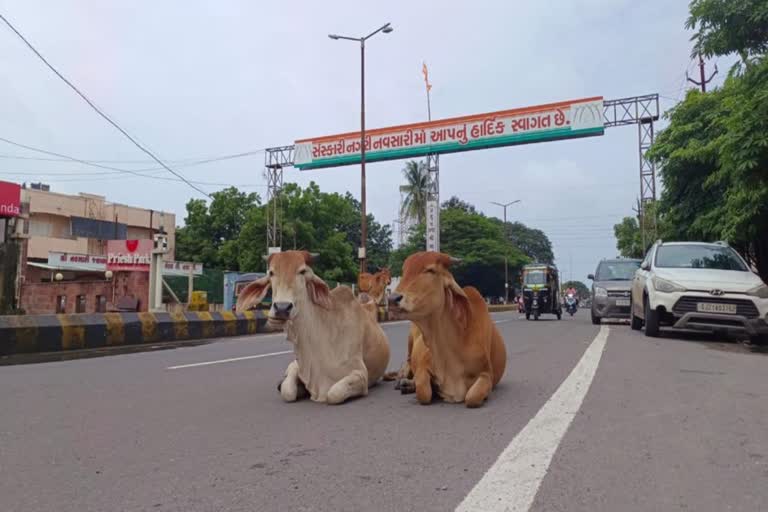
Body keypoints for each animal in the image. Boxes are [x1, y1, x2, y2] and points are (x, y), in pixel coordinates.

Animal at [234, 251, 390, 404]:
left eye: (302, 271)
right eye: (271, 272)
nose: (282, 308)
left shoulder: (361, 375)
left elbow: (333, 394)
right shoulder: (300, 366)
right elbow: (287, 391)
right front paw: (298, 389)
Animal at [388, 252, 508, 408]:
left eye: (430, 270)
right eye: (404, 271)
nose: (392, 299)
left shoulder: (486, 374)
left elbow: (472, 397)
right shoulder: (423, 367)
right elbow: (423, 391)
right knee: (406, 364)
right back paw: (404, 381)